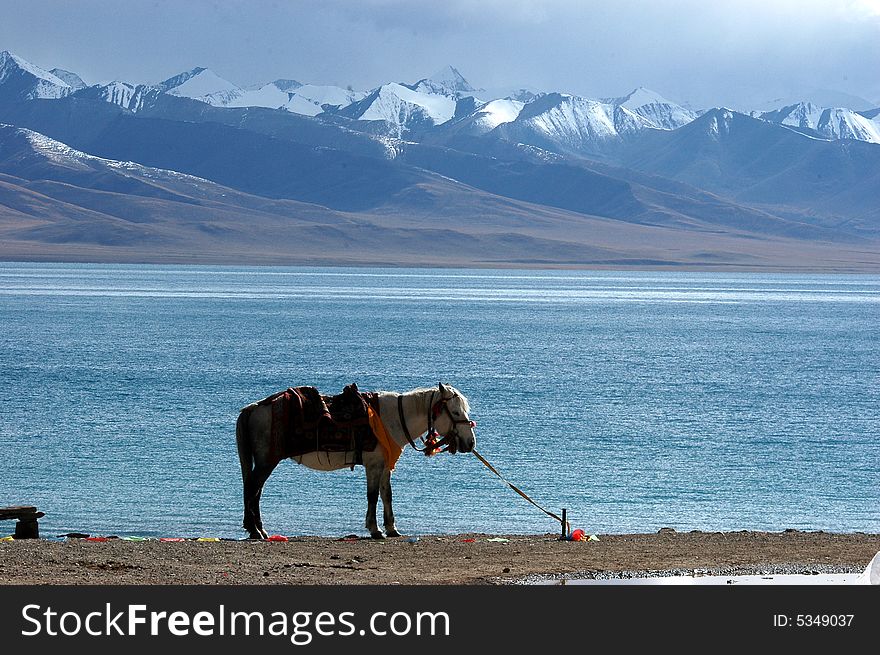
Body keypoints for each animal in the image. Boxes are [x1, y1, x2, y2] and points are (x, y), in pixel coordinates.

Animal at [235, 382, 474, 540]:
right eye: (455, 411)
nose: (470, 442)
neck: (392, 419)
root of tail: (255, 407)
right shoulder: (373, 465)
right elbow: (372, 496)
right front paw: (375, 529)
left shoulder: (384, 466)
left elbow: (387, 495)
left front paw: (392, 529)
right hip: (267, 461)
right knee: (252, 489)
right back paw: (255, 530)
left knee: (255, 491)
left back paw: (258, 529)